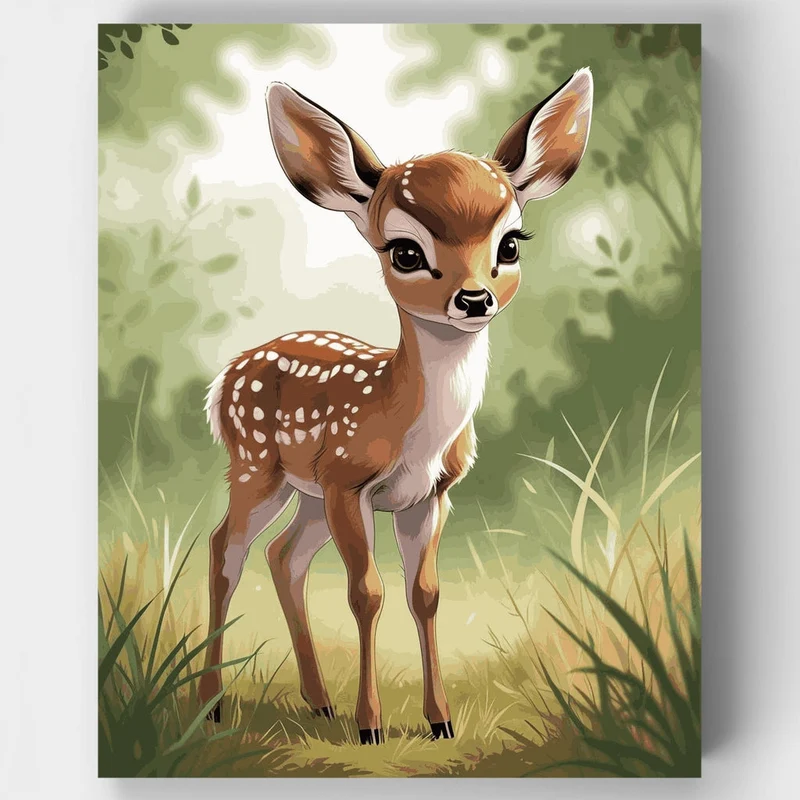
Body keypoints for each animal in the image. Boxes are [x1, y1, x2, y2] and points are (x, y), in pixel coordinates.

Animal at [199, 68, 593, 744]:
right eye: (405, 252)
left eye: (511, 243)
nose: (474, 298)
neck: (411, 427)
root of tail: (227, 376)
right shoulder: (350, 481)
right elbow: (367, 593)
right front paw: (370, 727)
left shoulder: (429, 495)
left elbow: (424, 594)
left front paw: (440, 721)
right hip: (257, 465)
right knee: (227, 547)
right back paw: (213, 705)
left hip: (307, 491)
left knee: (283, 556)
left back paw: (317, 702)